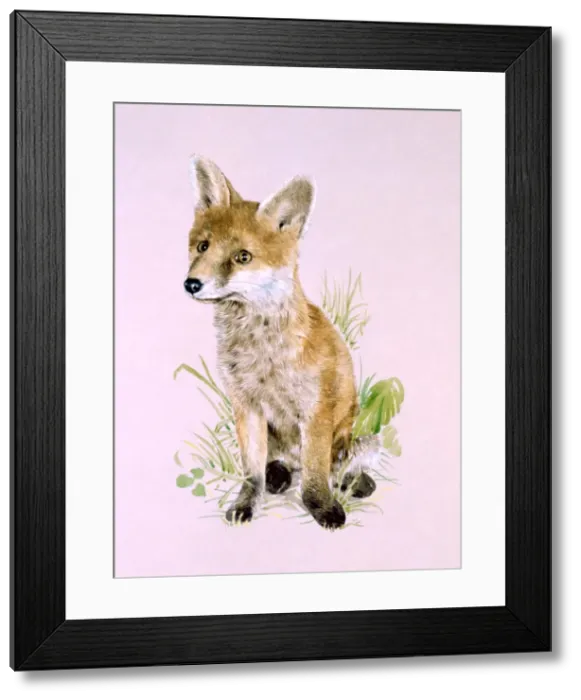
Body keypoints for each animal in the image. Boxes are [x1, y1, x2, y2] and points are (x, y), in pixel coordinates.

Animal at [183, 155, 379, 530]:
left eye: (242, 257)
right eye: (203, 247)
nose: (191, 284)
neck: (264, 356)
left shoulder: (315, 410)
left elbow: (316, 476)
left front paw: (322, 508)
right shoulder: (246, 406)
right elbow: (251, 472)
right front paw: (245, 504)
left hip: (352, 434)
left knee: (339, 464)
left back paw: (350, 480)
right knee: (279, 464)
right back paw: (279, 476)